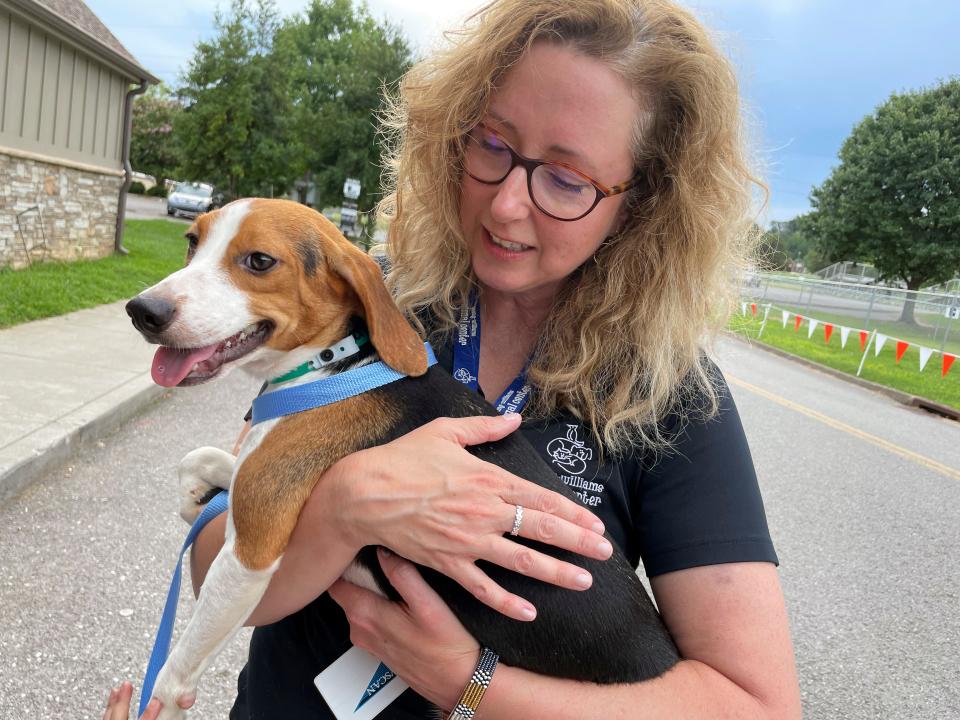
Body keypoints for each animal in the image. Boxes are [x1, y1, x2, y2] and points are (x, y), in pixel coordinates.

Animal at [127, 200, 680, 716]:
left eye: (259, 261)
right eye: (192, 241)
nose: (142, 310)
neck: (332, 367)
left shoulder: (251, 554)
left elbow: (179, 663)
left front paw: (165, 701)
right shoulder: (260, 479)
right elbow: (202, 459)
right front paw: (196, 497)